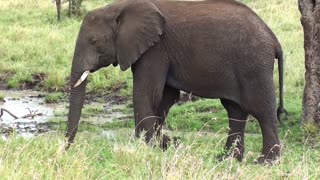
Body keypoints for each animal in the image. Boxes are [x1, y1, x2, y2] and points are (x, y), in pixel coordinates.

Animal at [66, 0, 286, 163]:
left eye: (94, 42)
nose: (67, 148)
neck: (117, 7)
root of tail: (274, 39)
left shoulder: (155, 49)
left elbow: (146, 94)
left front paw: (147, 148)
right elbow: (166, 96)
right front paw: (163, 144)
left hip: (254, 66)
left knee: (261, 110)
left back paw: (265, 162)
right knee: (235, 111)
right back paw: (226, 159)